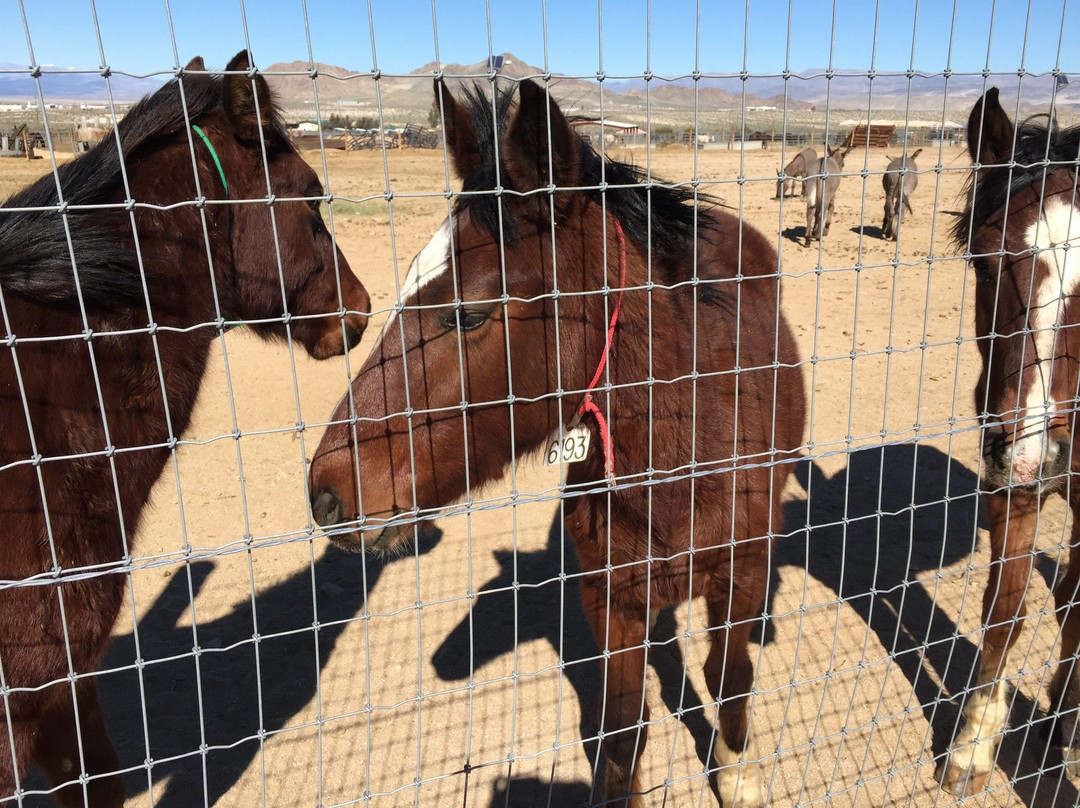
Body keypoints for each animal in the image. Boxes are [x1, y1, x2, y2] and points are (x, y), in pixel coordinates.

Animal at [308, 78, 806, 808]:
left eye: (470, 314)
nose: (326, 492)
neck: (685, 465)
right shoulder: (611, 601)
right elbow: (624, 731)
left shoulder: (743, 574)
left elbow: (728, 673)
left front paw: (736, 775)